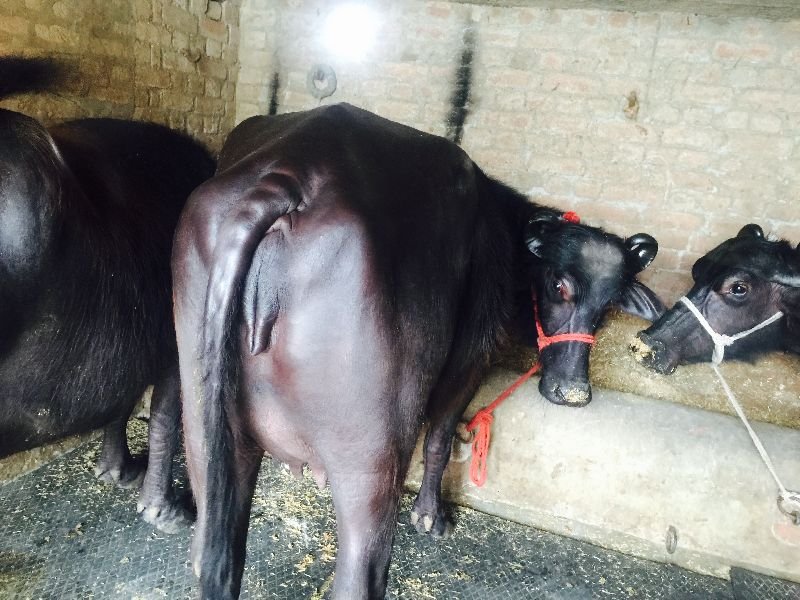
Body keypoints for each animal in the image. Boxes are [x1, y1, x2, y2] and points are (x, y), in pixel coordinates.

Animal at [172, 103, 664, 599]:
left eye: (610, 301)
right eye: (560, 285)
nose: (573, 391)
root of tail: (286, 177)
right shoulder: (470, 358)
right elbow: (442, 436)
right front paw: (430, 515)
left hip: (205, 428)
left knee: (211, 550)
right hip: (371, 455)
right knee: (361, 570)